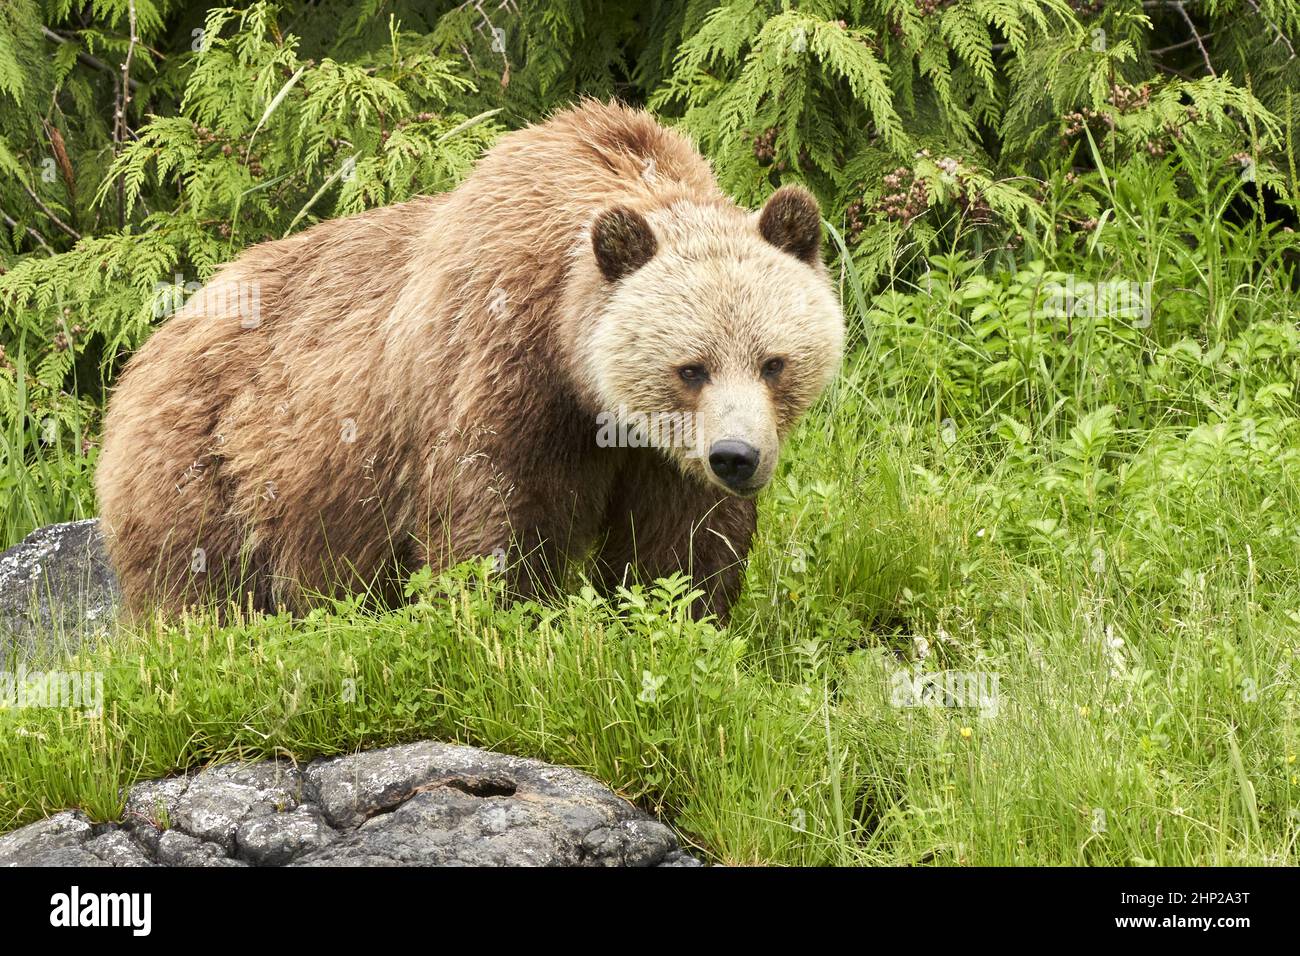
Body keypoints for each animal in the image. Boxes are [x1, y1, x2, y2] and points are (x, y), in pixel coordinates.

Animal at [91, 97, 842, 621]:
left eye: (773, 361)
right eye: (691, 368)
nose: (737, 457)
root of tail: (144, 350)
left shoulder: (662, 455)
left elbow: (682, 542)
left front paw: (680, 613)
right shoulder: (500, 360)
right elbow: (489, 513)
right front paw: (504, 617)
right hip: (207, 464)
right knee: (195, 584)